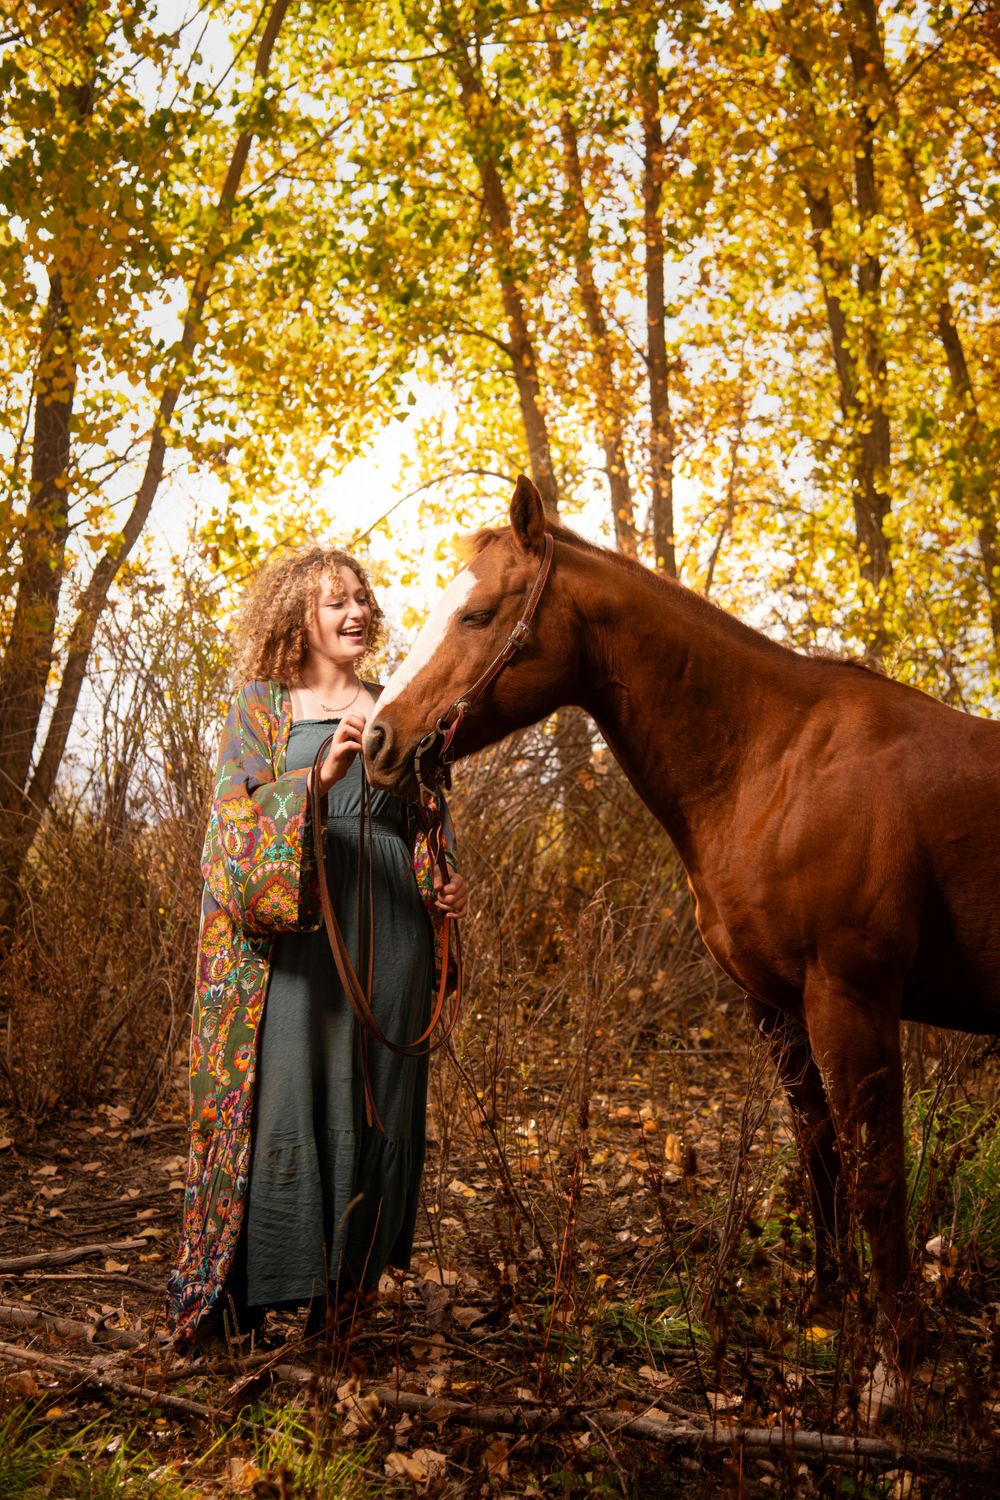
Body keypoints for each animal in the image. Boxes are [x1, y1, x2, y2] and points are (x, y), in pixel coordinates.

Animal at [364, 474, 1000, 1332]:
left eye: (477, 614)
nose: (377, 740)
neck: (774, 762)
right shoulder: (779, 1006)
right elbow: (820, 1154)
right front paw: (826, 1309)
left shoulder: (855, 1002)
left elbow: (878, 1179)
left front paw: (892, 1358)